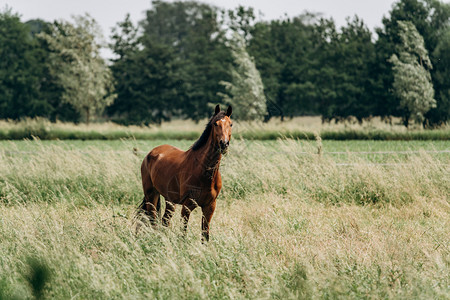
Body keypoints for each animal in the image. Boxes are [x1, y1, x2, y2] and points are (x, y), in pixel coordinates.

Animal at [138, 104, 232, 240]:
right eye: (216, 123)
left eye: (231, 124)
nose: (224, 144)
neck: (204, 173)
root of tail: (150, 154)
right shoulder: (187, 206)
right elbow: (183, 233)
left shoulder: (209, 207)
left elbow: (205, 235)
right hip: (151, 195)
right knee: (153, 221)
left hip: (170, 200)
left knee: (164, 221)